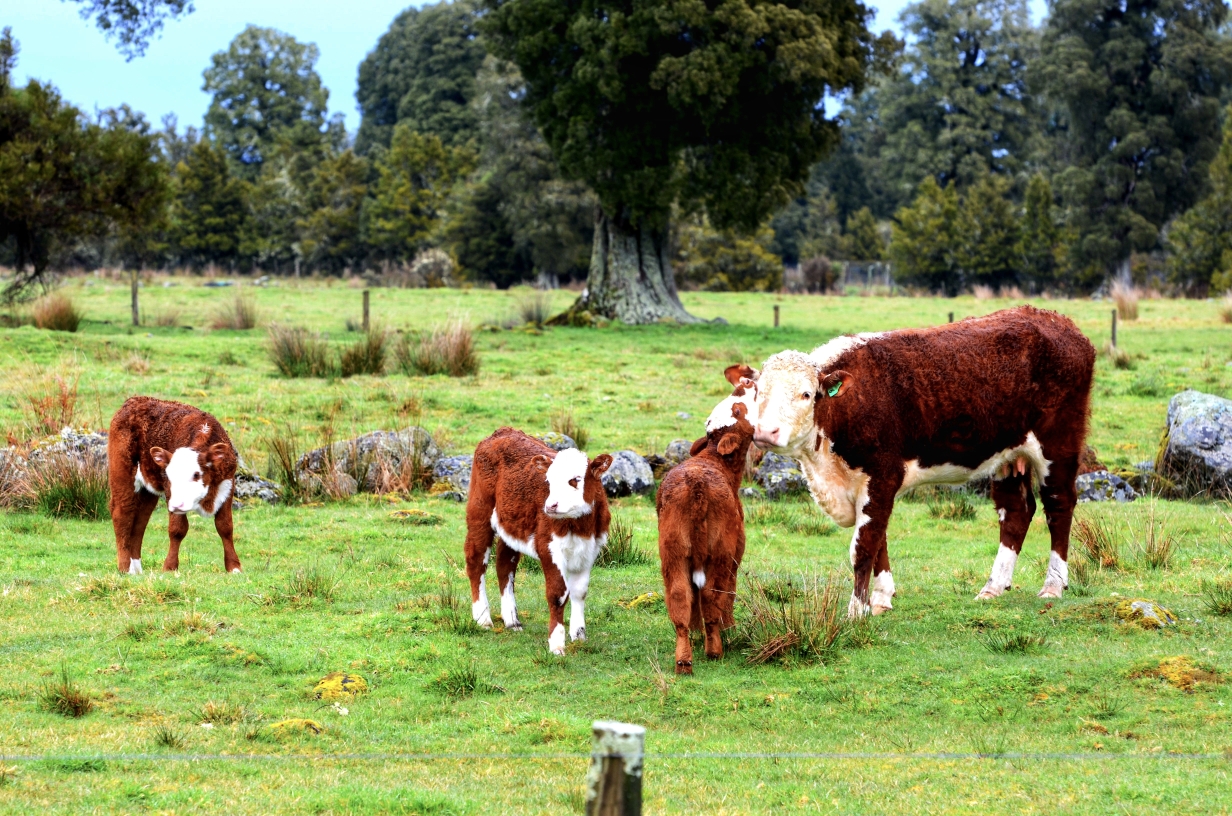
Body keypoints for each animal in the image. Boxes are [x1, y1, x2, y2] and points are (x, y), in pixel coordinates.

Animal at [107, 396, 240, 574]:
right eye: (169, 476)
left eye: (196, 474)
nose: (177, 505)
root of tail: (134, 400)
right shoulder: (171, 494)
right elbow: (177, 529)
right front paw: (170, 566)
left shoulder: (228, 485)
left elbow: (225, 526)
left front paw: (234, 567)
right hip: (122, 474)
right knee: (122, 514)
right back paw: (125, 568)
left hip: (147, 492)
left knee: (140, 521)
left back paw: (137, 569)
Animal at [463, 428, 613, 660]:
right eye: (548, 480)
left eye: (575, 480)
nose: (550, 505)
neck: (579, 525)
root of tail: (501, 432)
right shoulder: (549, 547)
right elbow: (558, 594)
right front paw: (557, 644)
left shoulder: (591, 549)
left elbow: (580, 591)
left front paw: (579, 635)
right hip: (479, 511)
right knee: (476, 561)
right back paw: (483, 618)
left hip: (512, 524)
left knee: (504, 565)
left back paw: (512, 620)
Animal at [655, 379, 758, 675]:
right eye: (738, 410)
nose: (744, 382)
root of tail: (697, 483)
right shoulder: (736, 555)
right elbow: (729, 594)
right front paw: (729, 628)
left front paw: (696, 632)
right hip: (721, 551)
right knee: (714, 593)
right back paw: (715, 649)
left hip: (673, 550)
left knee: (680, 596)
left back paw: (684, 657)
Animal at [724, 306, 1094, 621]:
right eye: (758, 392)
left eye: (806, 394)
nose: (766, 432)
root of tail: (1057, 321)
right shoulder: (866, 485)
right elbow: (878, 540)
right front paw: (880, 598)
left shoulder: (882, 474)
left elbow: (864, 546)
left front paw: (856, 611)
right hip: (1009, 453)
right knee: (1016, 510)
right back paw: (992, 587)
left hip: (1058, 443)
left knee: (1059, 505)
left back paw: (1053, 585)